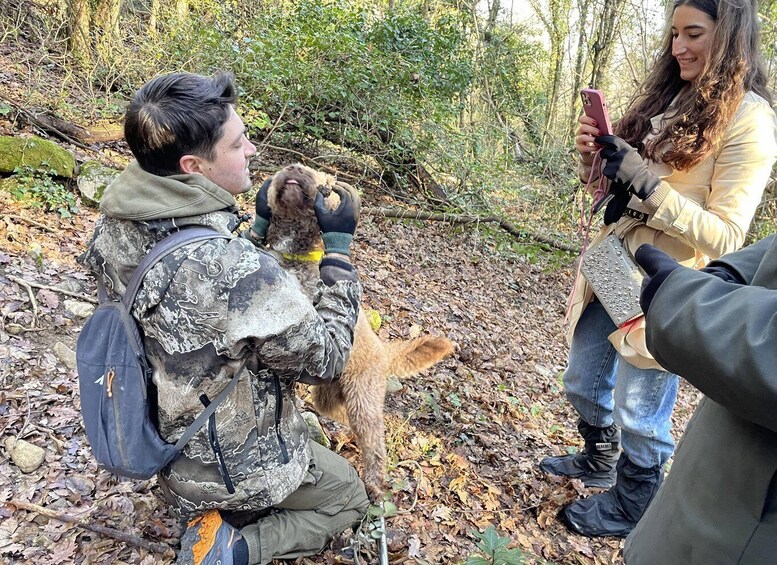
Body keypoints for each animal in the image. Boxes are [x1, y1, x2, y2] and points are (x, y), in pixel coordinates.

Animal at [266, 163, 454, 498]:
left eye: (321, 177)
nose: (295, 167)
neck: (295, 254)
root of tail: (384, 350)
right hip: (330, 395)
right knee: (344, 418)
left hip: (362, 399)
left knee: (375, 441)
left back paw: (375, 484)